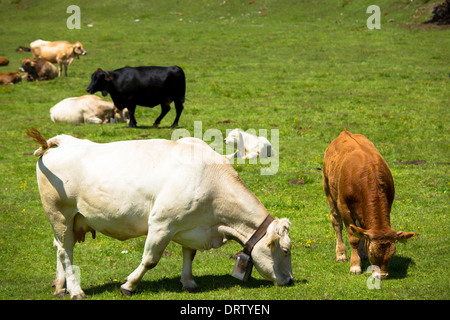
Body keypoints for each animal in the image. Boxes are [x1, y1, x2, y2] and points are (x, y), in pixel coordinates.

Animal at [26, 129, 294, 298]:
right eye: (285, 250)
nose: (290, 280)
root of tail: (60, 142)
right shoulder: (161, 224)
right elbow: (150, 260)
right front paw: (129, 285)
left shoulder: (190, 226)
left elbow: (189, 254)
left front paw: (188, 282)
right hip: (59, 214)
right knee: (66, 251)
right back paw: (75, 290)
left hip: (68, 220)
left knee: (60, 247)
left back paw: (60, 287)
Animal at [322, 129, 414, 278]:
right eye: (372, 252)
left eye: (392, 252)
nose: (382, 275)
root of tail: (344, 132)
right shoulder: (344, 208)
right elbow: (353, 237)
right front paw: (355, 266)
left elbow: (361, 233)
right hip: (329, 192)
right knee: (336, 222)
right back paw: (341, 254)